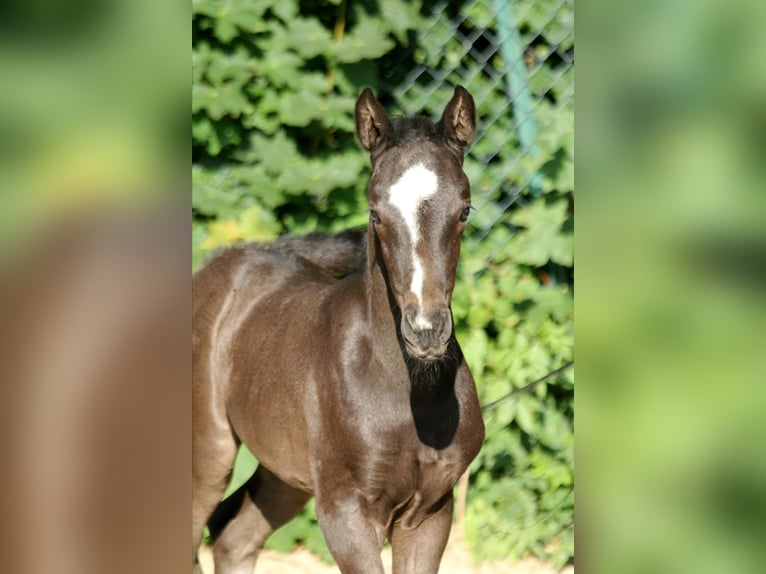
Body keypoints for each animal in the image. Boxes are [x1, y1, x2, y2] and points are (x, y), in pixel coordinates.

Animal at [195, 85, 488, 574]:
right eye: (375, 213)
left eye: (464, 210)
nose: (426, 331)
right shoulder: (344, 510)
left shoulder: (431, 511)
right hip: (209, 453)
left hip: (284, 475)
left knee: (232, 538)